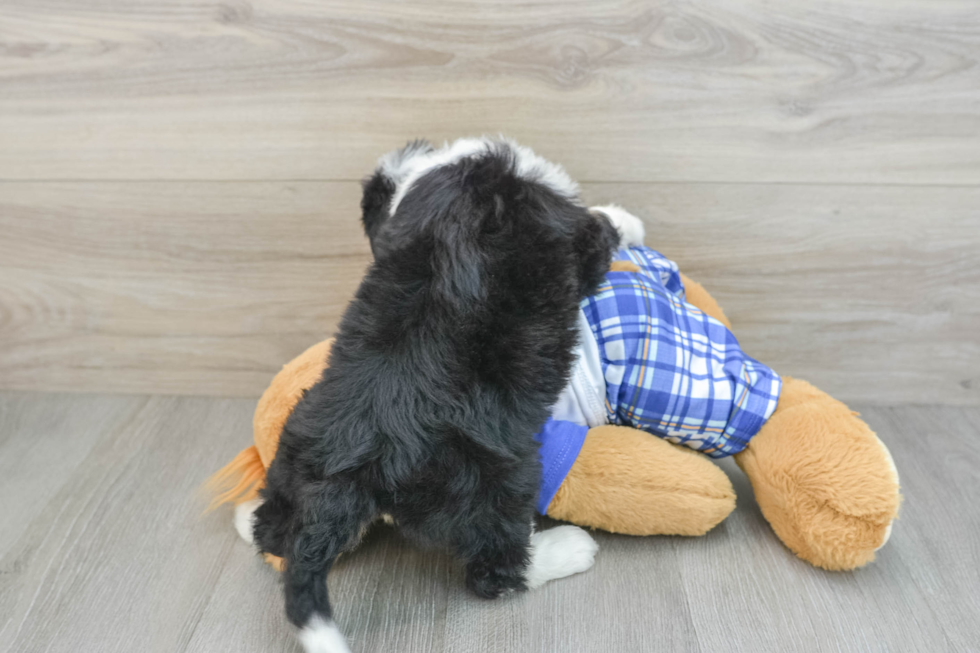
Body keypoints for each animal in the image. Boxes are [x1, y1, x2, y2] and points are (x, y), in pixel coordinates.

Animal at [245, 135, 628, 648]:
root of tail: (355, 463)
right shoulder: (572, 232)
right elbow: (601, 229)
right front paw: (626, 218)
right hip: (493, 480)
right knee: (495, 568)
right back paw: (565, 550)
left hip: (298, 444)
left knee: (272, 528)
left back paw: (249, 520)